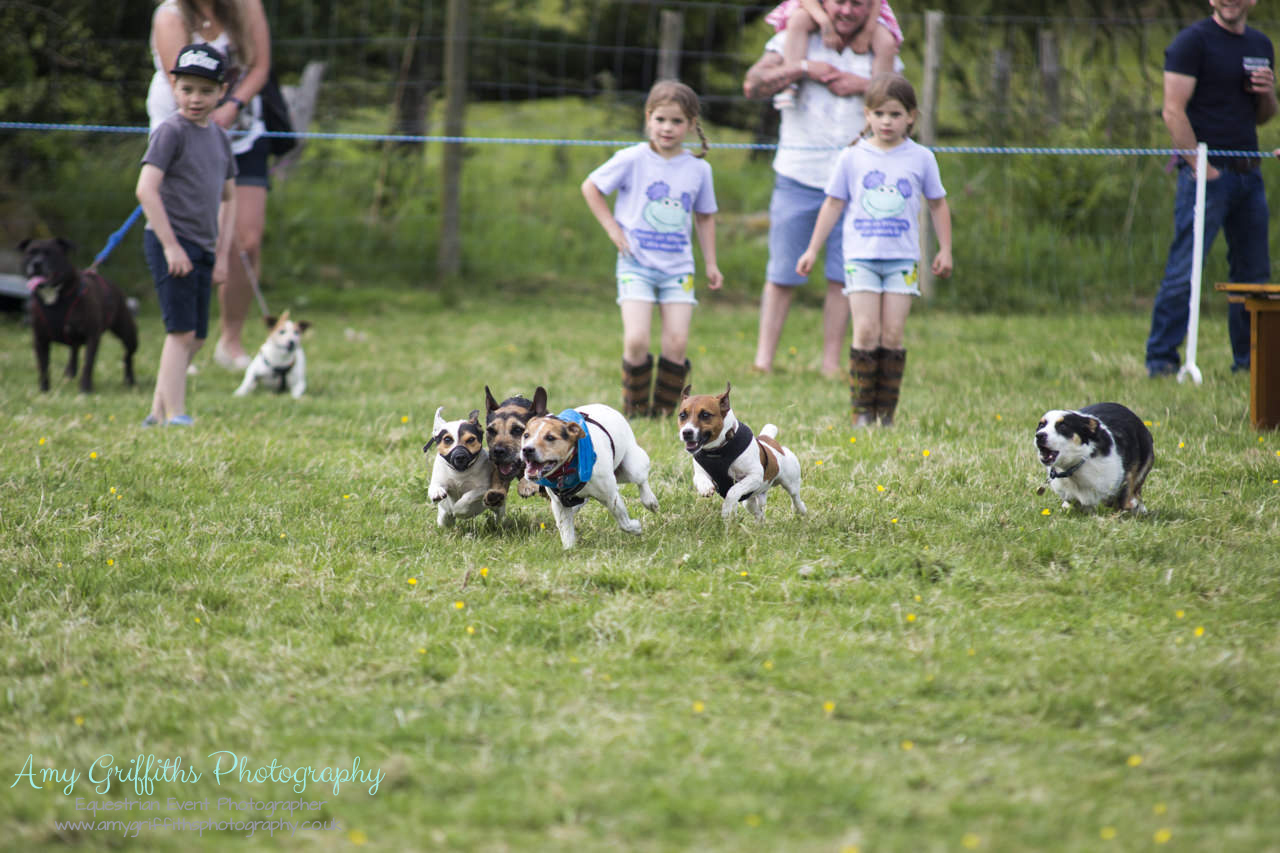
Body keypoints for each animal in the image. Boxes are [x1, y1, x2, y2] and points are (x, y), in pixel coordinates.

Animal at [20, 235, 136, 389]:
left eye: (50, 253)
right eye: (30, 253)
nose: (36, 263)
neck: (54, 298)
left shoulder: (92, 336)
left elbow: (88, 363)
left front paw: (85, 388)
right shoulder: (40, 339)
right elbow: (43, 366)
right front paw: (44, 389)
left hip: (127, 332)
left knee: (128, 355)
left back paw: (130, 379)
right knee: (74, 349)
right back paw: (70, 372)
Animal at [519, 389, 660, 548]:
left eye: (550, 438)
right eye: (526, 435)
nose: (527, 449)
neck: (568, 468)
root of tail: (607, 407)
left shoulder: (611, 496)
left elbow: (624, 522)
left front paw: (635, 528)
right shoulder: (558, 504)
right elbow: (566, 530)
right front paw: (569, 549)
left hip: (632, 467)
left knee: (641, 480)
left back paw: (650, 501)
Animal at [675, 384, 803, 517]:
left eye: (705, 414)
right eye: (682, 415)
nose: (686, 432)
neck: (718, 451)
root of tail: (769, 440)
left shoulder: (755, 476)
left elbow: (733, 490)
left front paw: (727, 508)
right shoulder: (700, 472)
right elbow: (700, 479)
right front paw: (705, 488)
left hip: (791, 482)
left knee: (795, 497)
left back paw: (800, 511)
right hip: (750, 502)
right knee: (758, 514)